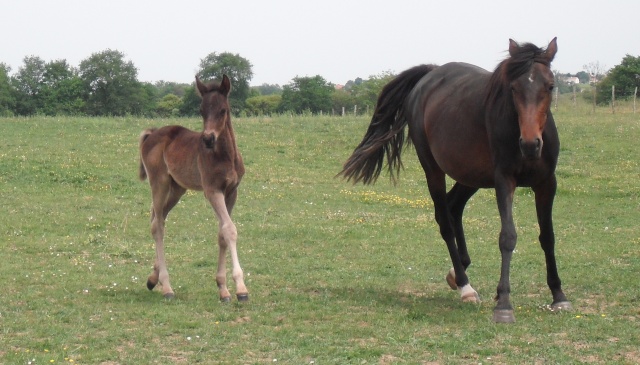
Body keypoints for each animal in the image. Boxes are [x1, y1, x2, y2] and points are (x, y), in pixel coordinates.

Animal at [138, 74, 248, 302]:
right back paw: (167, 286)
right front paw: (241, 289)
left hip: (177, 189)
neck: (225, 156)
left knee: (156, 218)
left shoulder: (231, 192)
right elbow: (230, 229)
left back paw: (153, 279)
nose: (207, 139)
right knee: (158, 226)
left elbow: (222, 234)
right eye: (201, 110)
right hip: (159, 183)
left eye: (223, 110)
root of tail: (151, 134)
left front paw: (223, 289)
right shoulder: (212, 191)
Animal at [340, 37, 568, 322]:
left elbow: (548, 236)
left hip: (471, 175)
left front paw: (559, 295)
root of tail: (429, 75)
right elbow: (508, 237)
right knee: (444, 219)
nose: (530, 144)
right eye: (513, 88)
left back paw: (458, 271)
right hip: (434, 169)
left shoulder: (547, 183)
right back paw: (464, 285)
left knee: (454, 206)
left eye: (550, 86)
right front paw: (504, 303)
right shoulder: (504, 180)